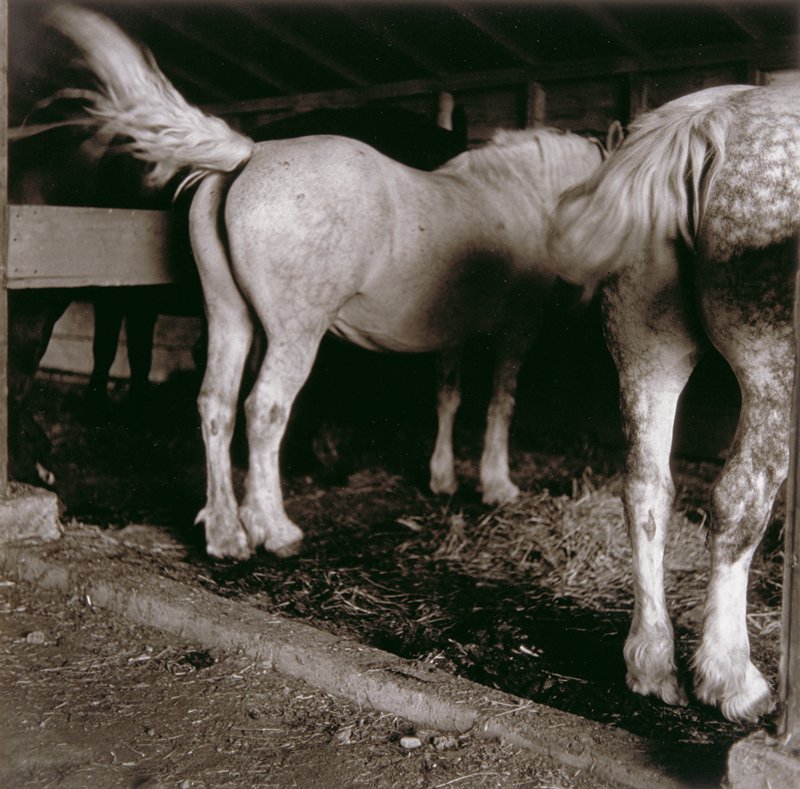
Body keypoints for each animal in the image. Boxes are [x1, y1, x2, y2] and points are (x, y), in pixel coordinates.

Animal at [49, 6, 610, 561]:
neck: (518, 195)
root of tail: (248, 154)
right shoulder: (517, 331)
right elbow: (500, 403)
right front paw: (496, 484)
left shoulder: (453, 335)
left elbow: (448, 398)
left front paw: (443, 478)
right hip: (294, 334)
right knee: (265, 408)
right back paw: (275, 530)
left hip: (230, 319)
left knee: (217, 405)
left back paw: (227, 534)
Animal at [549, 82, 800, 722]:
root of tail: (708, 120)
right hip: (774, 374)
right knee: (740, 498)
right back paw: (731, 678)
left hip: (646, 351)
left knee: (646, 489)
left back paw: (652, 664)